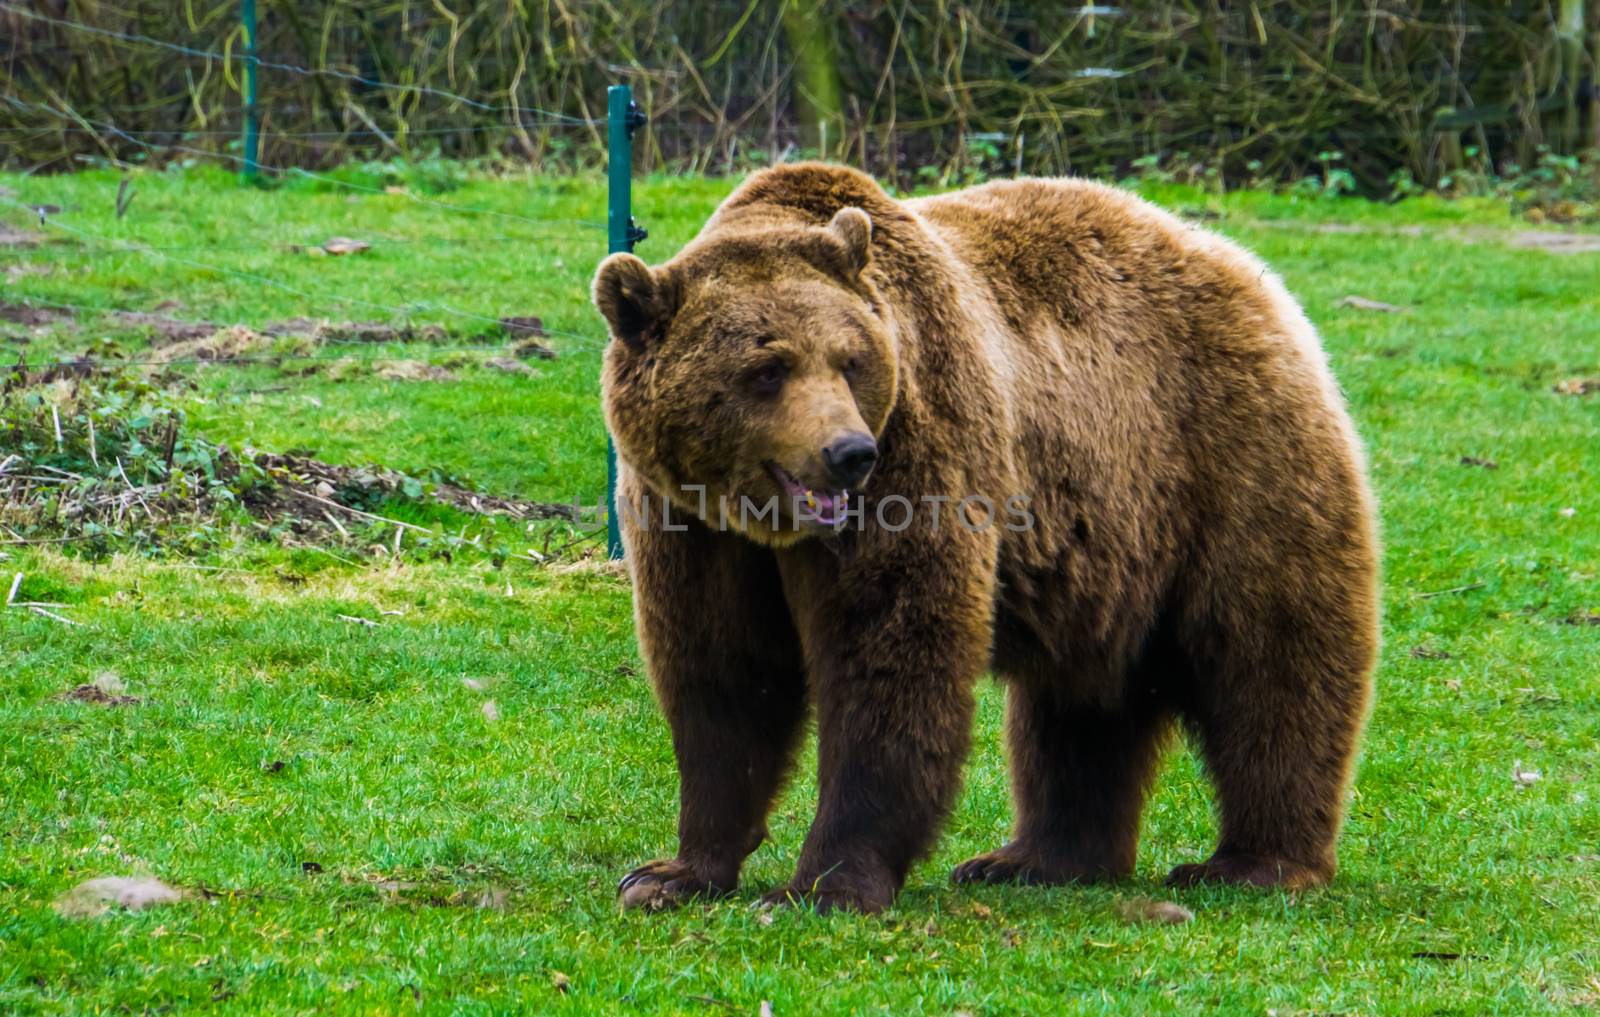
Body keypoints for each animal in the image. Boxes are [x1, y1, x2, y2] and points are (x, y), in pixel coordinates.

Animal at [595, 160, 1382, 914]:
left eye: (849, 360)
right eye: (767, 368)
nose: (848, 452)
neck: (769, 525)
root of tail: (1247, 270)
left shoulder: (916, 453)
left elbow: (889, 653)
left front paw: (823, 885)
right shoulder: (692, 523)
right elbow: (724, 675)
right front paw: (670, 874)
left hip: (1231, 459)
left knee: (1271, 658)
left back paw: (1254, 863)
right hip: (1108, 544)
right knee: (1079, 709)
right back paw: (1036, 859)